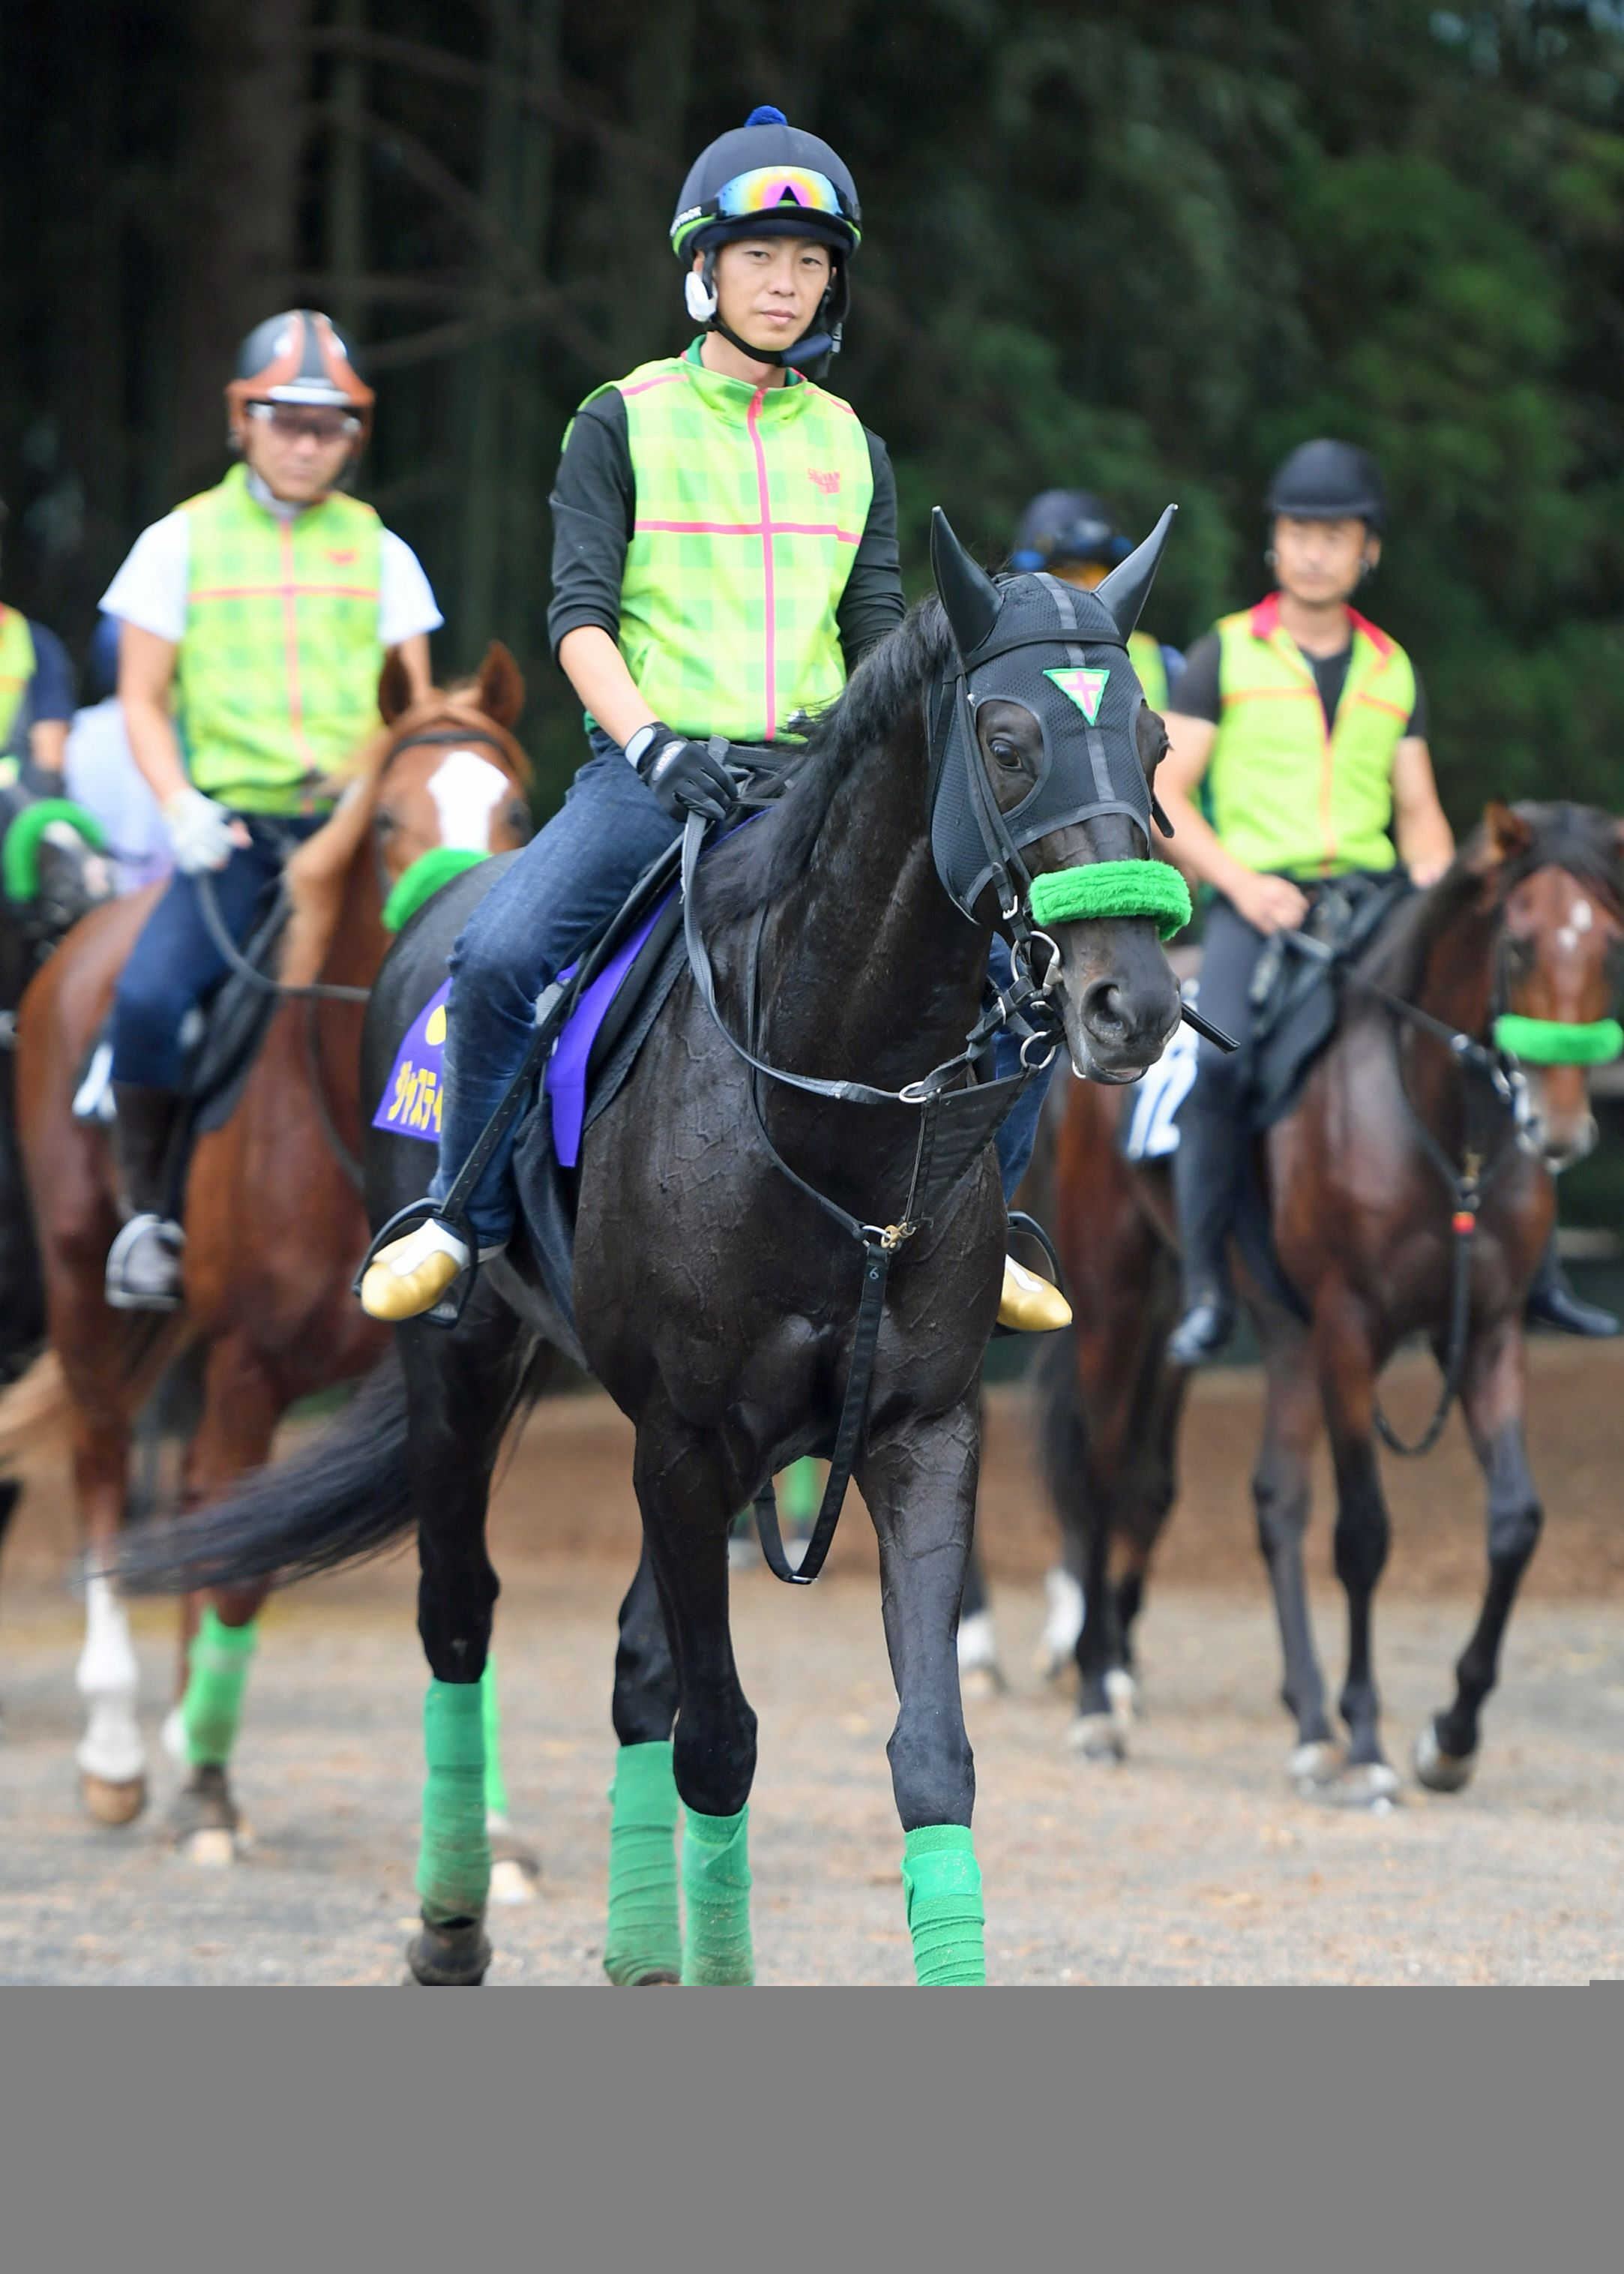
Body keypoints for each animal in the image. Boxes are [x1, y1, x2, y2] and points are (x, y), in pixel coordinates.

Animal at [6, 650, 532, 1856]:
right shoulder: (251, 1362)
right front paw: (200, 1782)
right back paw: (121, 1747)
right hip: (85, 1290)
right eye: (385, 817)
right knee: (107, 1469)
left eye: (518, 808)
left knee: (207, 1502)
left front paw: (485, 1823)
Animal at [113, 507, 1173, 1982]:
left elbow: (926, 1755)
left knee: (634, 1671)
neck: (830, 1108)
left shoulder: (920, 1429)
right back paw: (452, 1916)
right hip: (464, 1364)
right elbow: (718, 1740)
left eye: (1158, 742)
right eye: (1009, 741)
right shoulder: (681, 1439)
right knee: (461, 1613)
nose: (1137, 999)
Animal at [1032, 809, 1610, 1801]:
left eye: (1609, 940)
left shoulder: (1488, 1332)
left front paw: (1450, 1734)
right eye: (1521, 942)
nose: (1562, 1126)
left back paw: (1306, 1719)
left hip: (1275, 1332)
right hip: (1117, 1296)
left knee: (1272, 1498)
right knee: (1103, 1472)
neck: (1440, 1125)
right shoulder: (1350, 1329)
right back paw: (1100, 1700)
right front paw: (1372, 1738)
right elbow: (1365, 1533)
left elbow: (1515, 1522)